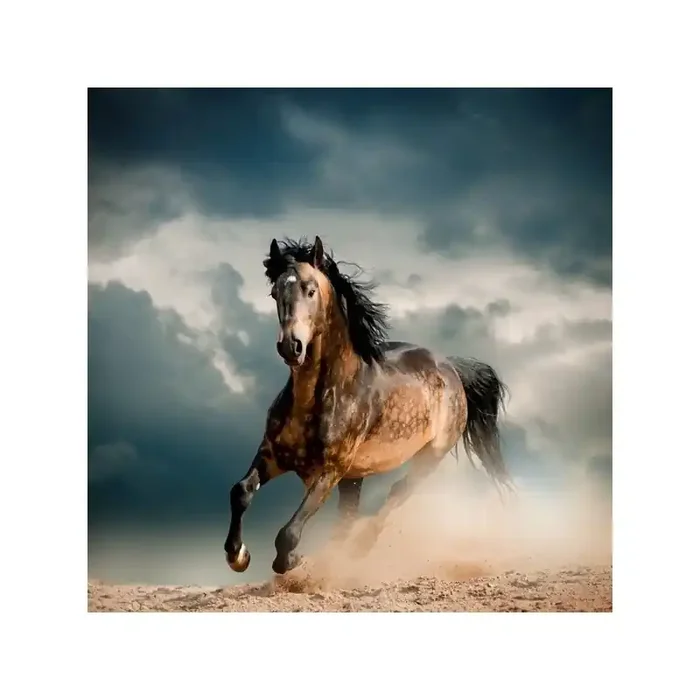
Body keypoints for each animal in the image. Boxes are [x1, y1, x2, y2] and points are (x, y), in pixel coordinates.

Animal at [224, 235, 512, 575]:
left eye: (310, 289)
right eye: (274, 292)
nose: (290, 347)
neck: (316, 398)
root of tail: (452, 368)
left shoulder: (330, 471)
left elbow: (289, 533)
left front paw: (291, 561)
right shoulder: (272, 455)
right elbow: (241, 491)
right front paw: (238, 555)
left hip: (429, 456)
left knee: (396, 493)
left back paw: (359, 548)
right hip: (355, 477)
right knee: (349, 518)